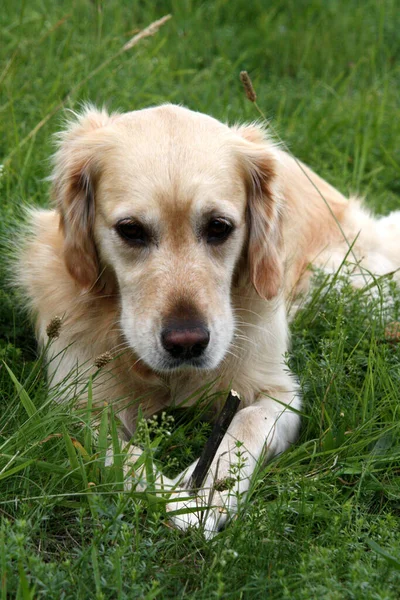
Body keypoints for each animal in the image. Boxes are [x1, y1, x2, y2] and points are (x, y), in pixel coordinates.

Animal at [17, 104, 400, 540]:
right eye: (130, 230)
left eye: (219, 227)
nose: (187, 342)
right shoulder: (74, 405)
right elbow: (120, 452)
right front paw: (169, 496)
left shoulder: (280, 393)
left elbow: (247, 422)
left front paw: (213, 490)